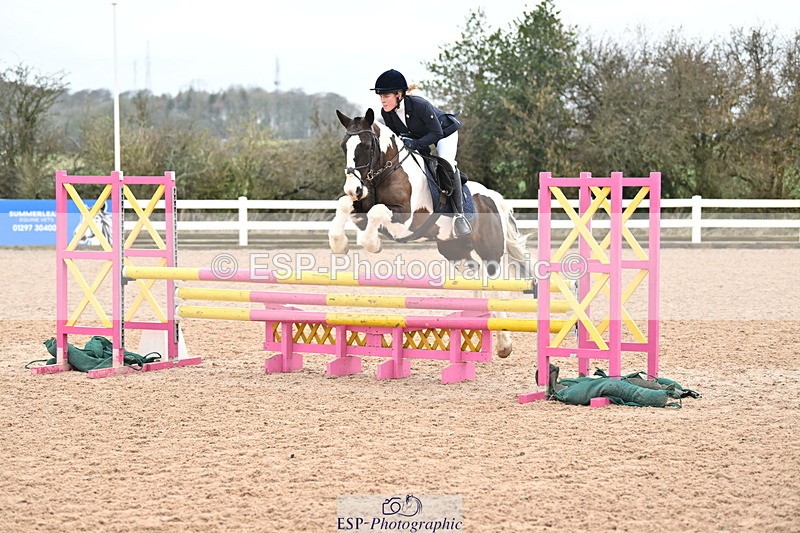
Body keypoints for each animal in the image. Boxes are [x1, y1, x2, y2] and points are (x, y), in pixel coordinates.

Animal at [328, 108, 531, 358]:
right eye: (343, 146)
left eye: (366, 146)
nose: (352, 188)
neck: (388, 171)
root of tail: (493, 197)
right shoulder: (361, 207)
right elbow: (345, 205)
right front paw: (340, 244)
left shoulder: (407, 218)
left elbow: (377, 212)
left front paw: (373, 244)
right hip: (454, 249)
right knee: (475, 274)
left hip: (490, 251)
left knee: (496, 285)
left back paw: (504, 344)